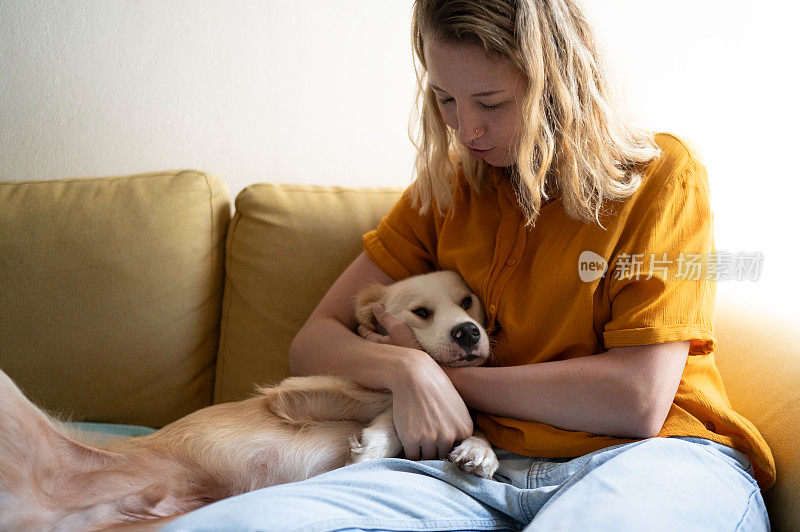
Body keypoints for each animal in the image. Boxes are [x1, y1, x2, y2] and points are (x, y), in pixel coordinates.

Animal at [0, 272, 496, 528]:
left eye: (468, 301)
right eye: (422, 312)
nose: (469, 333)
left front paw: (479, 452)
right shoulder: (294, 393)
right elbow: (405, 391)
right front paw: (376, 442)